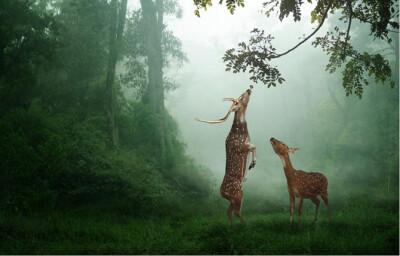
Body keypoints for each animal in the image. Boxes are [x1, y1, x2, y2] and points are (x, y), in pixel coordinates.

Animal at [196, 89, 256, 227]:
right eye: (240, 98)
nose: (249, 89)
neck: (242, 131)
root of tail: (223, 193)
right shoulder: (240, 146)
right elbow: (254, 146)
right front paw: (252, 164)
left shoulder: (247, 144)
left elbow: (253, 147)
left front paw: (251, 165)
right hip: (238, 194)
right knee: (236, 211)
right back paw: (245, 224)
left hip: (233, 198)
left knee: (229, 211)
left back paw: (233, 226)